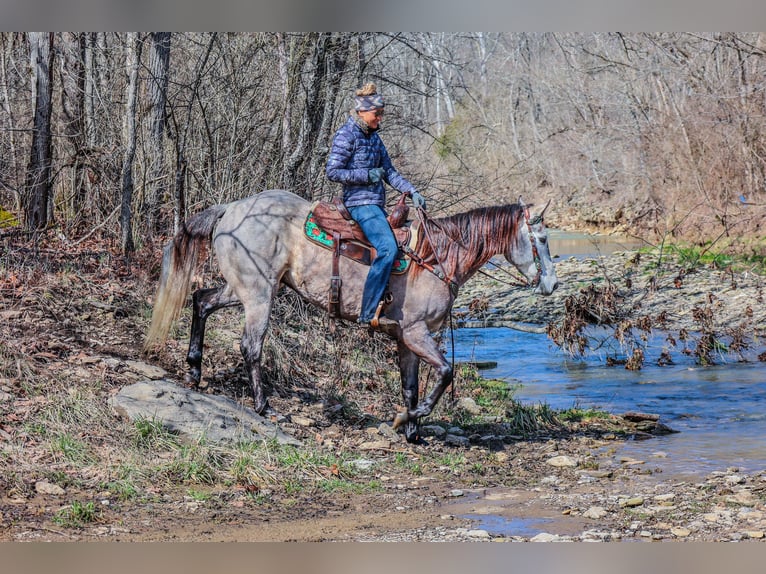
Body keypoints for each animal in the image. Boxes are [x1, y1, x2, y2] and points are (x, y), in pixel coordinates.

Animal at [144, 189, 560, 446]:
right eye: (540, 240)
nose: (552, 284)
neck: (437, 257)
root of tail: (231, 209)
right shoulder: (417, 334)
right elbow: (445, 373)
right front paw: (409, 419)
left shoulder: (406, 341)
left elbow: (410, 386)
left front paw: (411, 430)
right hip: (259, 293)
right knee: (251, 346)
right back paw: (264, 406)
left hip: (241, 289)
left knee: (201, 301)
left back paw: (194, 370)